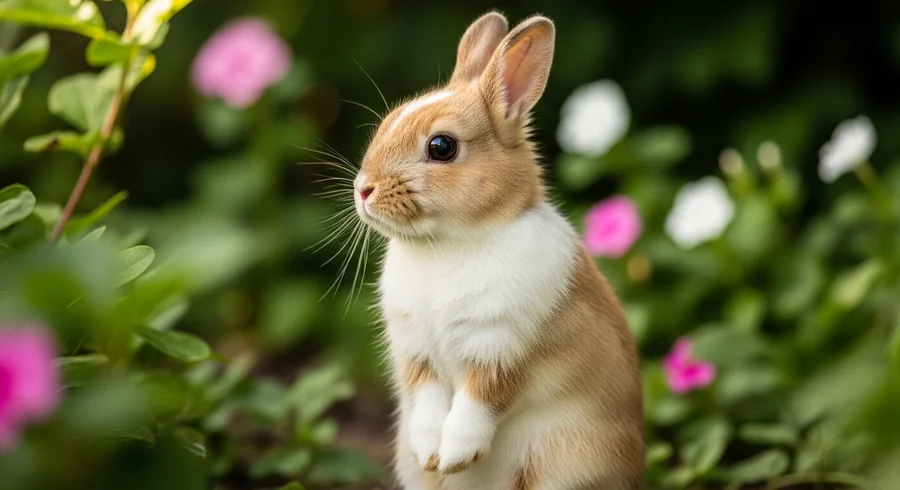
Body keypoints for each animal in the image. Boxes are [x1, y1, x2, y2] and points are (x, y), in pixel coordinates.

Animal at [350, 11, 644, 490]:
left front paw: (454, 458)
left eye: (441, 147)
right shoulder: (416, 353)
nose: (363, 190)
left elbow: (478, 405)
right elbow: (427, 403)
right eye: (388, 121)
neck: (449, 242)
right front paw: (431, 455)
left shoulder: (501, 349)